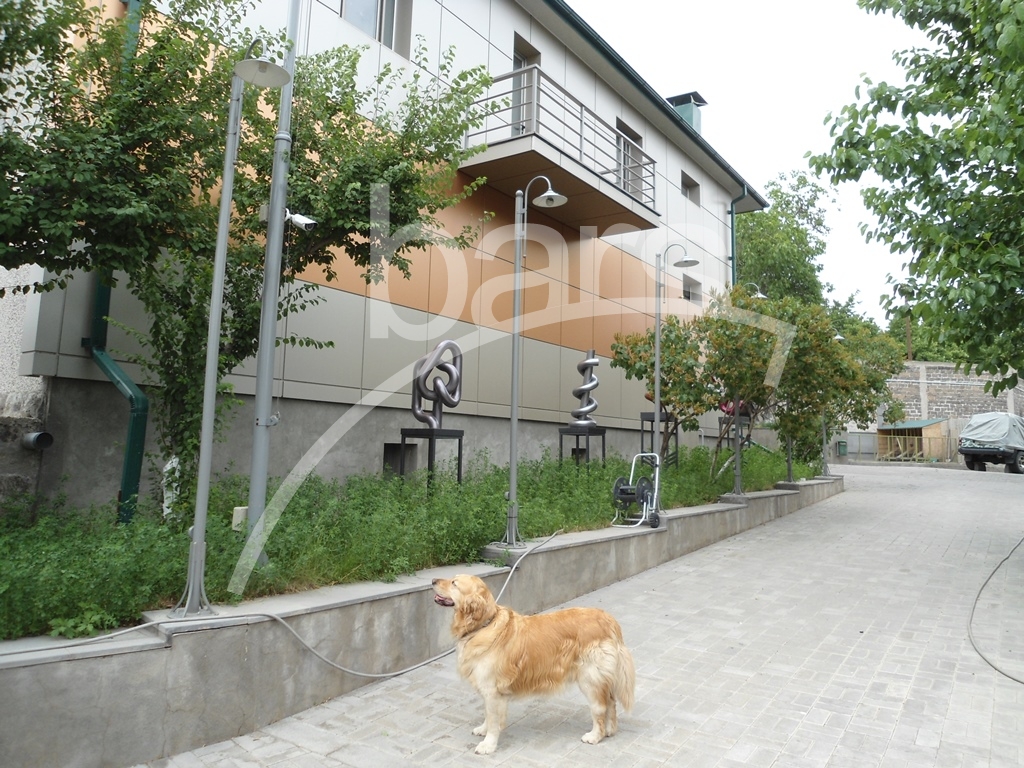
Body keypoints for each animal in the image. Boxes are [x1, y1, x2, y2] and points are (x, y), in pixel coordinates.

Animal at [431, 574, 635, 755]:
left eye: (454, 583)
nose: (432, 580)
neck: (484, 625)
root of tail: (608, 620)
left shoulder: (492, 690)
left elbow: (493, 720)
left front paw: (488, 745)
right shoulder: (491, 690)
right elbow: (489, 717)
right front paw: (483, 729)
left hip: (589, 678)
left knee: (600, 707)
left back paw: (595, 735)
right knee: (611, 702)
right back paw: (610, 730)